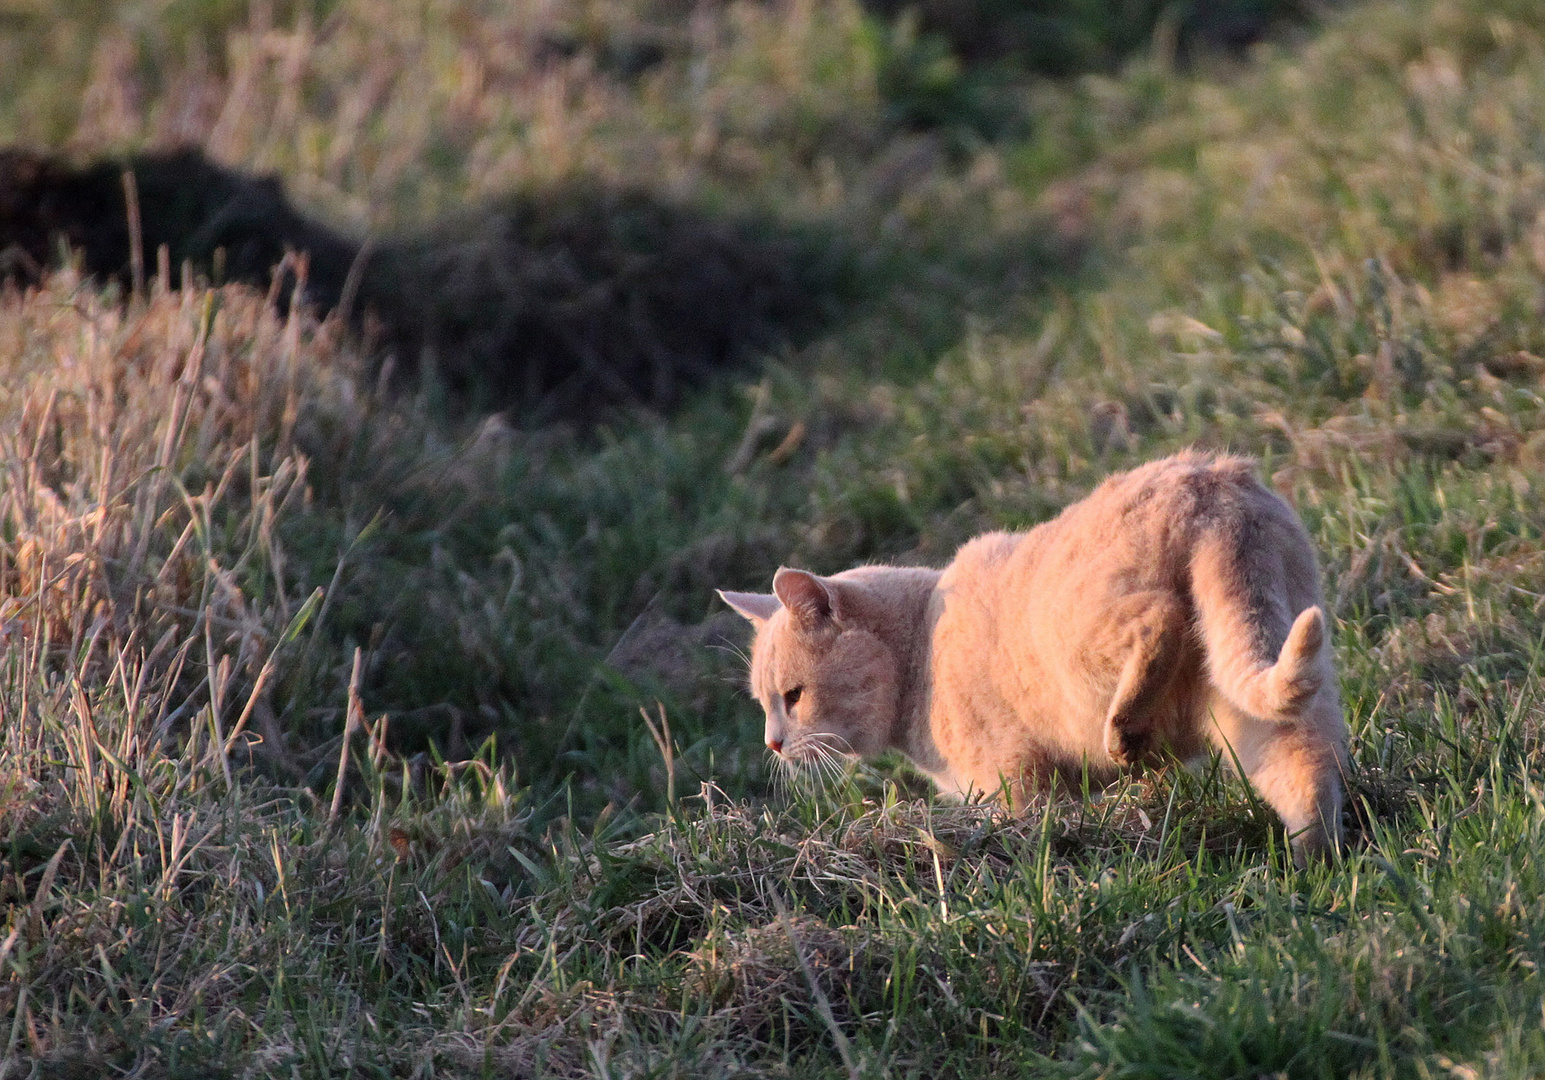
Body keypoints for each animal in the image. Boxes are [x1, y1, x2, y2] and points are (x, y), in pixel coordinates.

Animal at [716, 451, 1347, 865]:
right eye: (765, 704)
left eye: (794, 697)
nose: (773, 743)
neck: (919, 654)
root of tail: (1215, 487)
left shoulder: (1014, 783)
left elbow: (1022, 822)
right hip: (1258, 699)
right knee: (1310, 767)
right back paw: (1314, 864)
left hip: (1085, 643)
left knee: (1159, 621)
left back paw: (1125, 733)